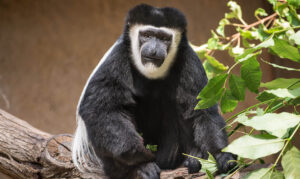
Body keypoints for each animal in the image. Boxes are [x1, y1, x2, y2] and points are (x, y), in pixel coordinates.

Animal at [72, 3, 237, 178]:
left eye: (164, 38)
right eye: (147, 35)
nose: (153, 49)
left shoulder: (189, 60)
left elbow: (202, 109)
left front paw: (222, 155)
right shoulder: (116, 59)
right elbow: (102, 109)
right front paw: (137, 153)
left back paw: (193, 157)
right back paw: (141, 168)